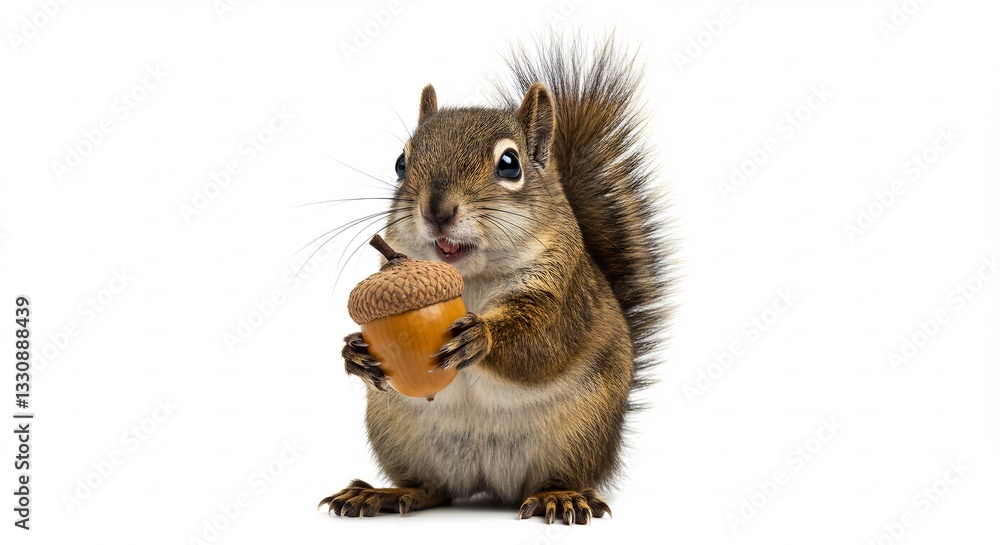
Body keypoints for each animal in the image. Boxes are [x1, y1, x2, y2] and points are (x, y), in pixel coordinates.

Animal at [319, 35, 671, 525]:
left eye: (509, 164)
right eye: (401, 163)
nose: (437, 210)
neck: (468, 279)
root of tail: (489, 483)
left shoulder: (564, 294)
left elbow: (542, 342)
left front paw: (479, 337)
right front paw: (354, 353)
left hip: (579, 435)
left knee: (558, 477)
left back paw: (559, 496)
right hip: (398, 433)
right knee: (432, 488)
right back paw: (385, 493)